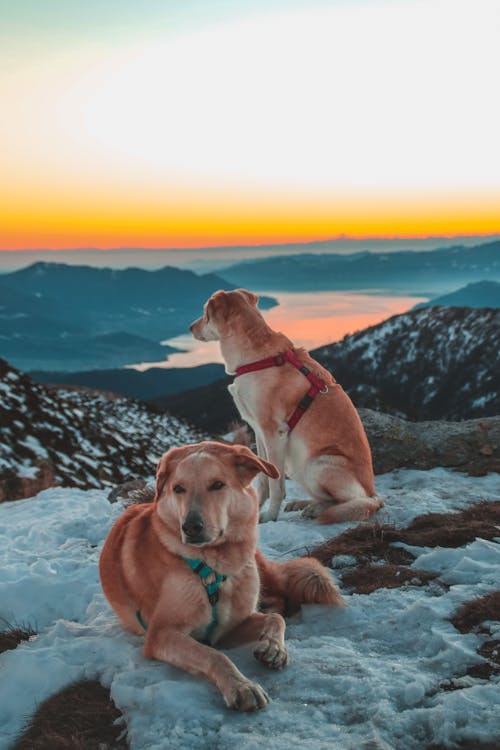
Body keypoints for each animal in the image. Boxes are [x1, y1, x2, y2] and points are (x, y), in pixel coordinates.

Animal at [190, 290, 382, 524]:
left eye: (205, 313)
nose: (190, 327)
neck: (257, 357)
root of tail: (373, 494)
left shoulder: (274, 433)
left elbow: (276, 483)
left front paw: (270, 515)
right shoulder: (259, 430)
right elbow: (263, 477)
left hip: (317, 464)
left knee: (345, 502)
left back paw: (317, 509)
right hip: (299, 465)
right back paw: (305, 503)